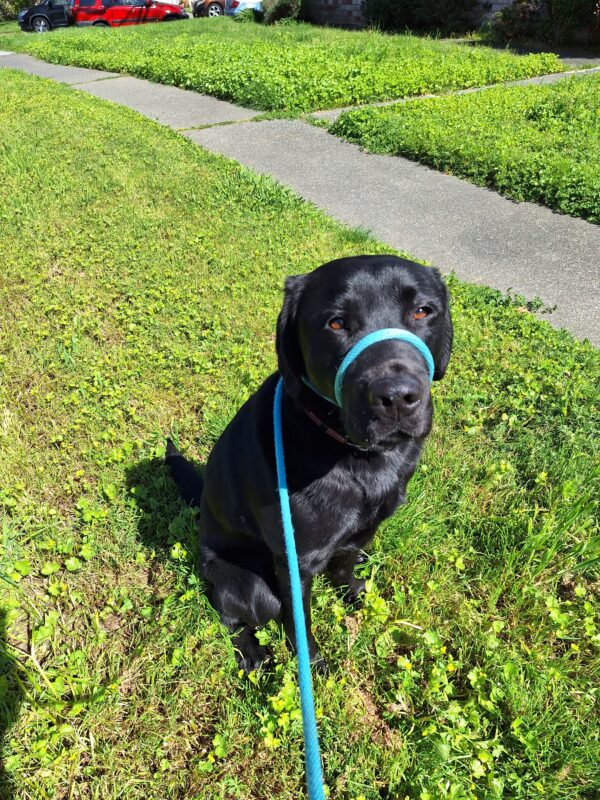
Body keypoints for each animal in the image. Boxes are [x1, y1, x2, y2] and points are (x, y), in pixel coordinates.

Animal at [166, 253, 452, 672]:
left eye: (422, 311)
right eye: (335, 323)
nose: (397, 397)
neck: (355, 456)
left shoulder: (363, 532)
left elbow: (346, 565)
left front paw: (354, 592)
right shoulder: (295, 561)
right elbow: (298, 620)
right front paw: (314, 664)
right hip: (249, 585)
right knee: (231, 616)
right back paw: (251, 656)